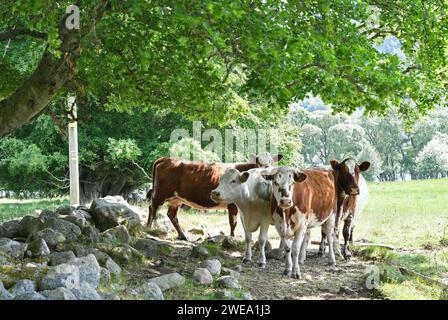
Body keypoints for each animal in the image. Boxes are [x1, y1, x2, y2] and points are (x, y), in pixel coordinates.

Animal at [146, 153, 284, 240]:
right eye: (258, 162)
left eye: (272, 162)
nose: (266, 171)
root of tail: (166, 159)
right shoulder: (233, 204)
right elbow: (233, 221)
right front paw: (232, 237)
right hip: (160, 193)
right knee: (152, 208)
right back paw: (148, 229)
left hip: (176, 199)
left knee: (172, 215)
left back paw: (183, 235)